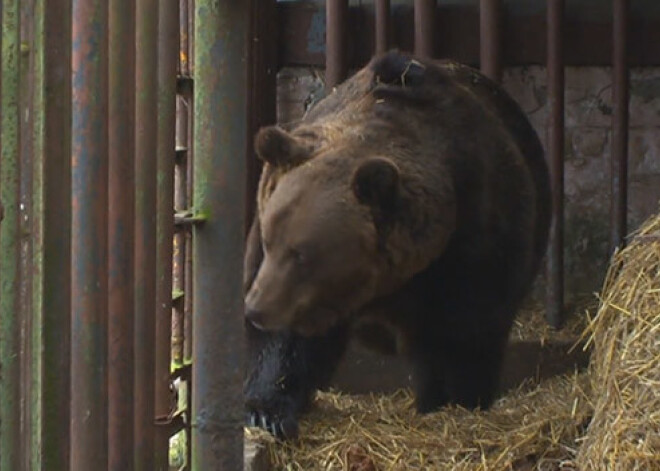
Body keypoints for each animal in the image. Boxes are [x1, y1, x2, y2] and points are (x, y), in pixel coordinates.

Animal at [242, 50, 552, 438]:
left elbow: (465, 334)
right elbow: (287, 344)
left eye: (302, 254)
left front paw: (457, 402)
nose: (254, 308)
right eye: (270, 241)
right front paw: (266, 412)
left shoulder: (474, 236)